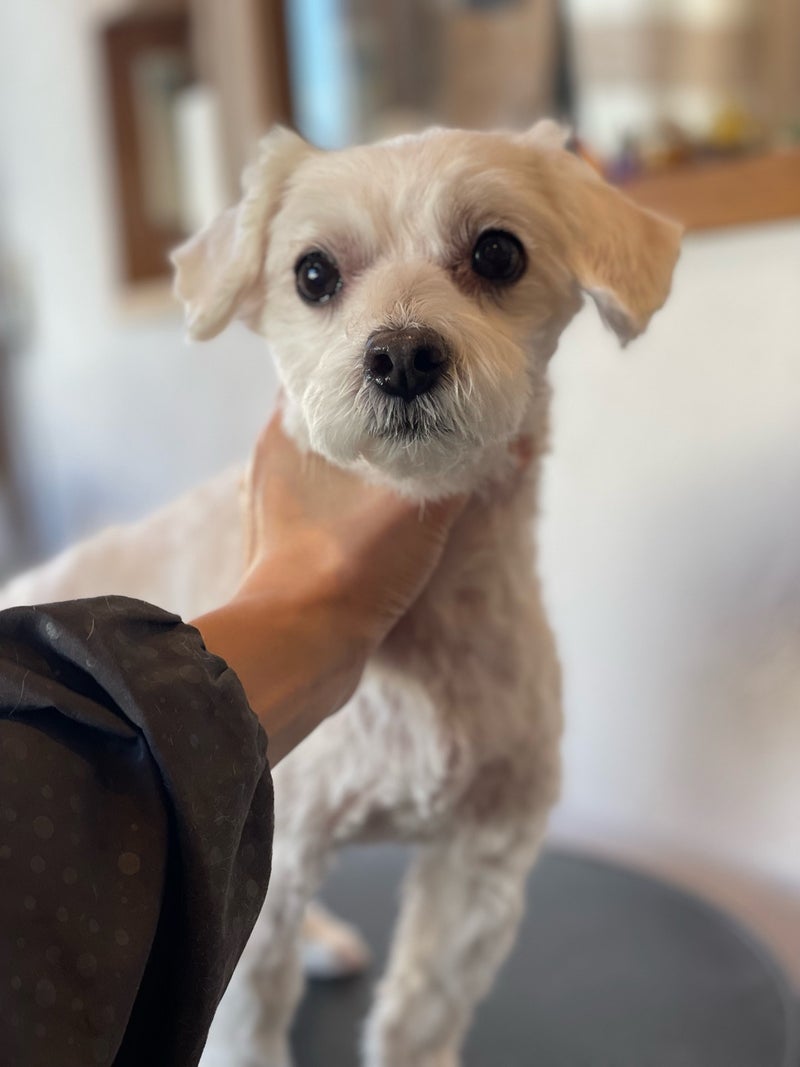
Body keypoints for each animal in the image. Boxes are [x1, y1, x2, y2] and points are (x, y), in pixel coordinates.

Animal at [1, 122, 681, 1065]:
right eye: (313, 274)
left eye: (498, 252)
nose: (401, 355)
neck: (425, 619)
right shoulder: (258, 851)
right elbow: (247, 1022)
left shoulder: (483, 852)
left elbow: (419, 1015)